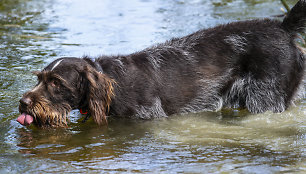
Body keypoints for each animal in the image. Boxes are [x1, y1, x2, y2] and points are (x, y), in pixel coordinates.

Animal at [17, 0, 304, 128]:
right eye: (39, 78)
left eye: (56, 83)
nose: (24, 102)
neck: (113, 84)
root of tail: (283, 28)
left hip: (266, 100)